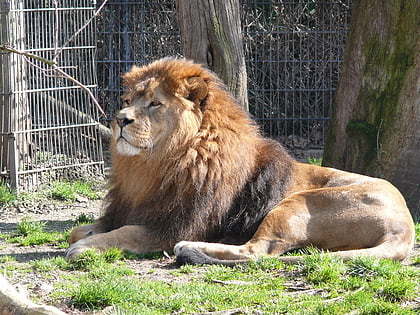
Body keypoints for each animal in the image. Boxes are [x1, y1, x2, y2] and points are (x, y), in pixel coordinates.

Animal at [67, 58, 416, 266]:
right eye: (127, 101)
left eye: (154, 104)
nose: (119, 119)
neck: (154, 164)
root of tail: (406, 225)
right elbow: (80, 229)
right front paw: (86, 236)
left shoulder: (173, 225)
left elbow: (125, 233)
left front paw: (88, 246)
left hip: (297, 203)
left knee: (258, 252)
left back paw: (191, 249)